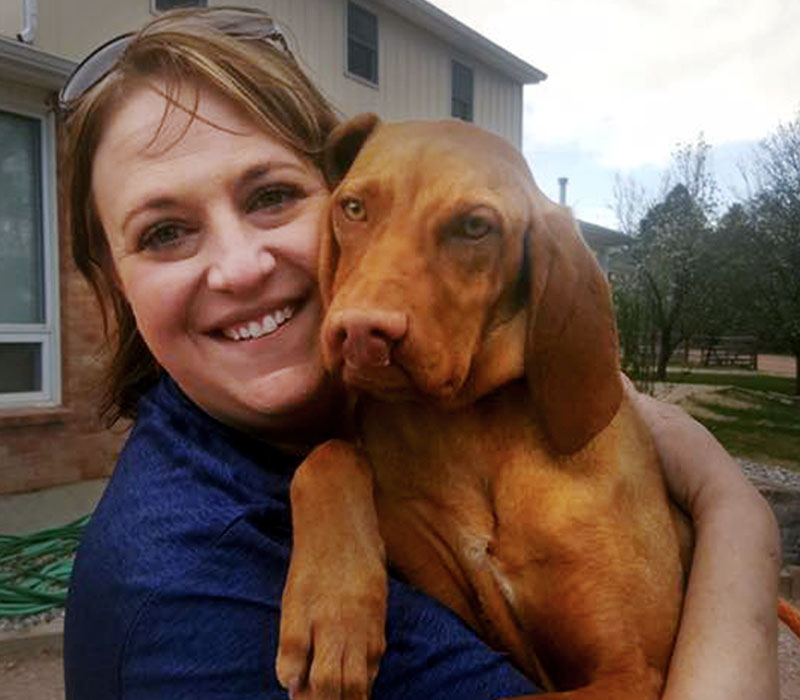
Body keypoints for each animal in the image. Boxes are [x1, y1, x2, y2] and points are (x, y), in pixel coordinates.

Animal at [278, 116, 692, 700]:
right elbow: (329, 453)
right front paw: (331, 611)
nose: (360, 332)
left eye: (475, 226)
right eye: (353, 208)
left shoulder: (632, 671)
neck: (470, 427)